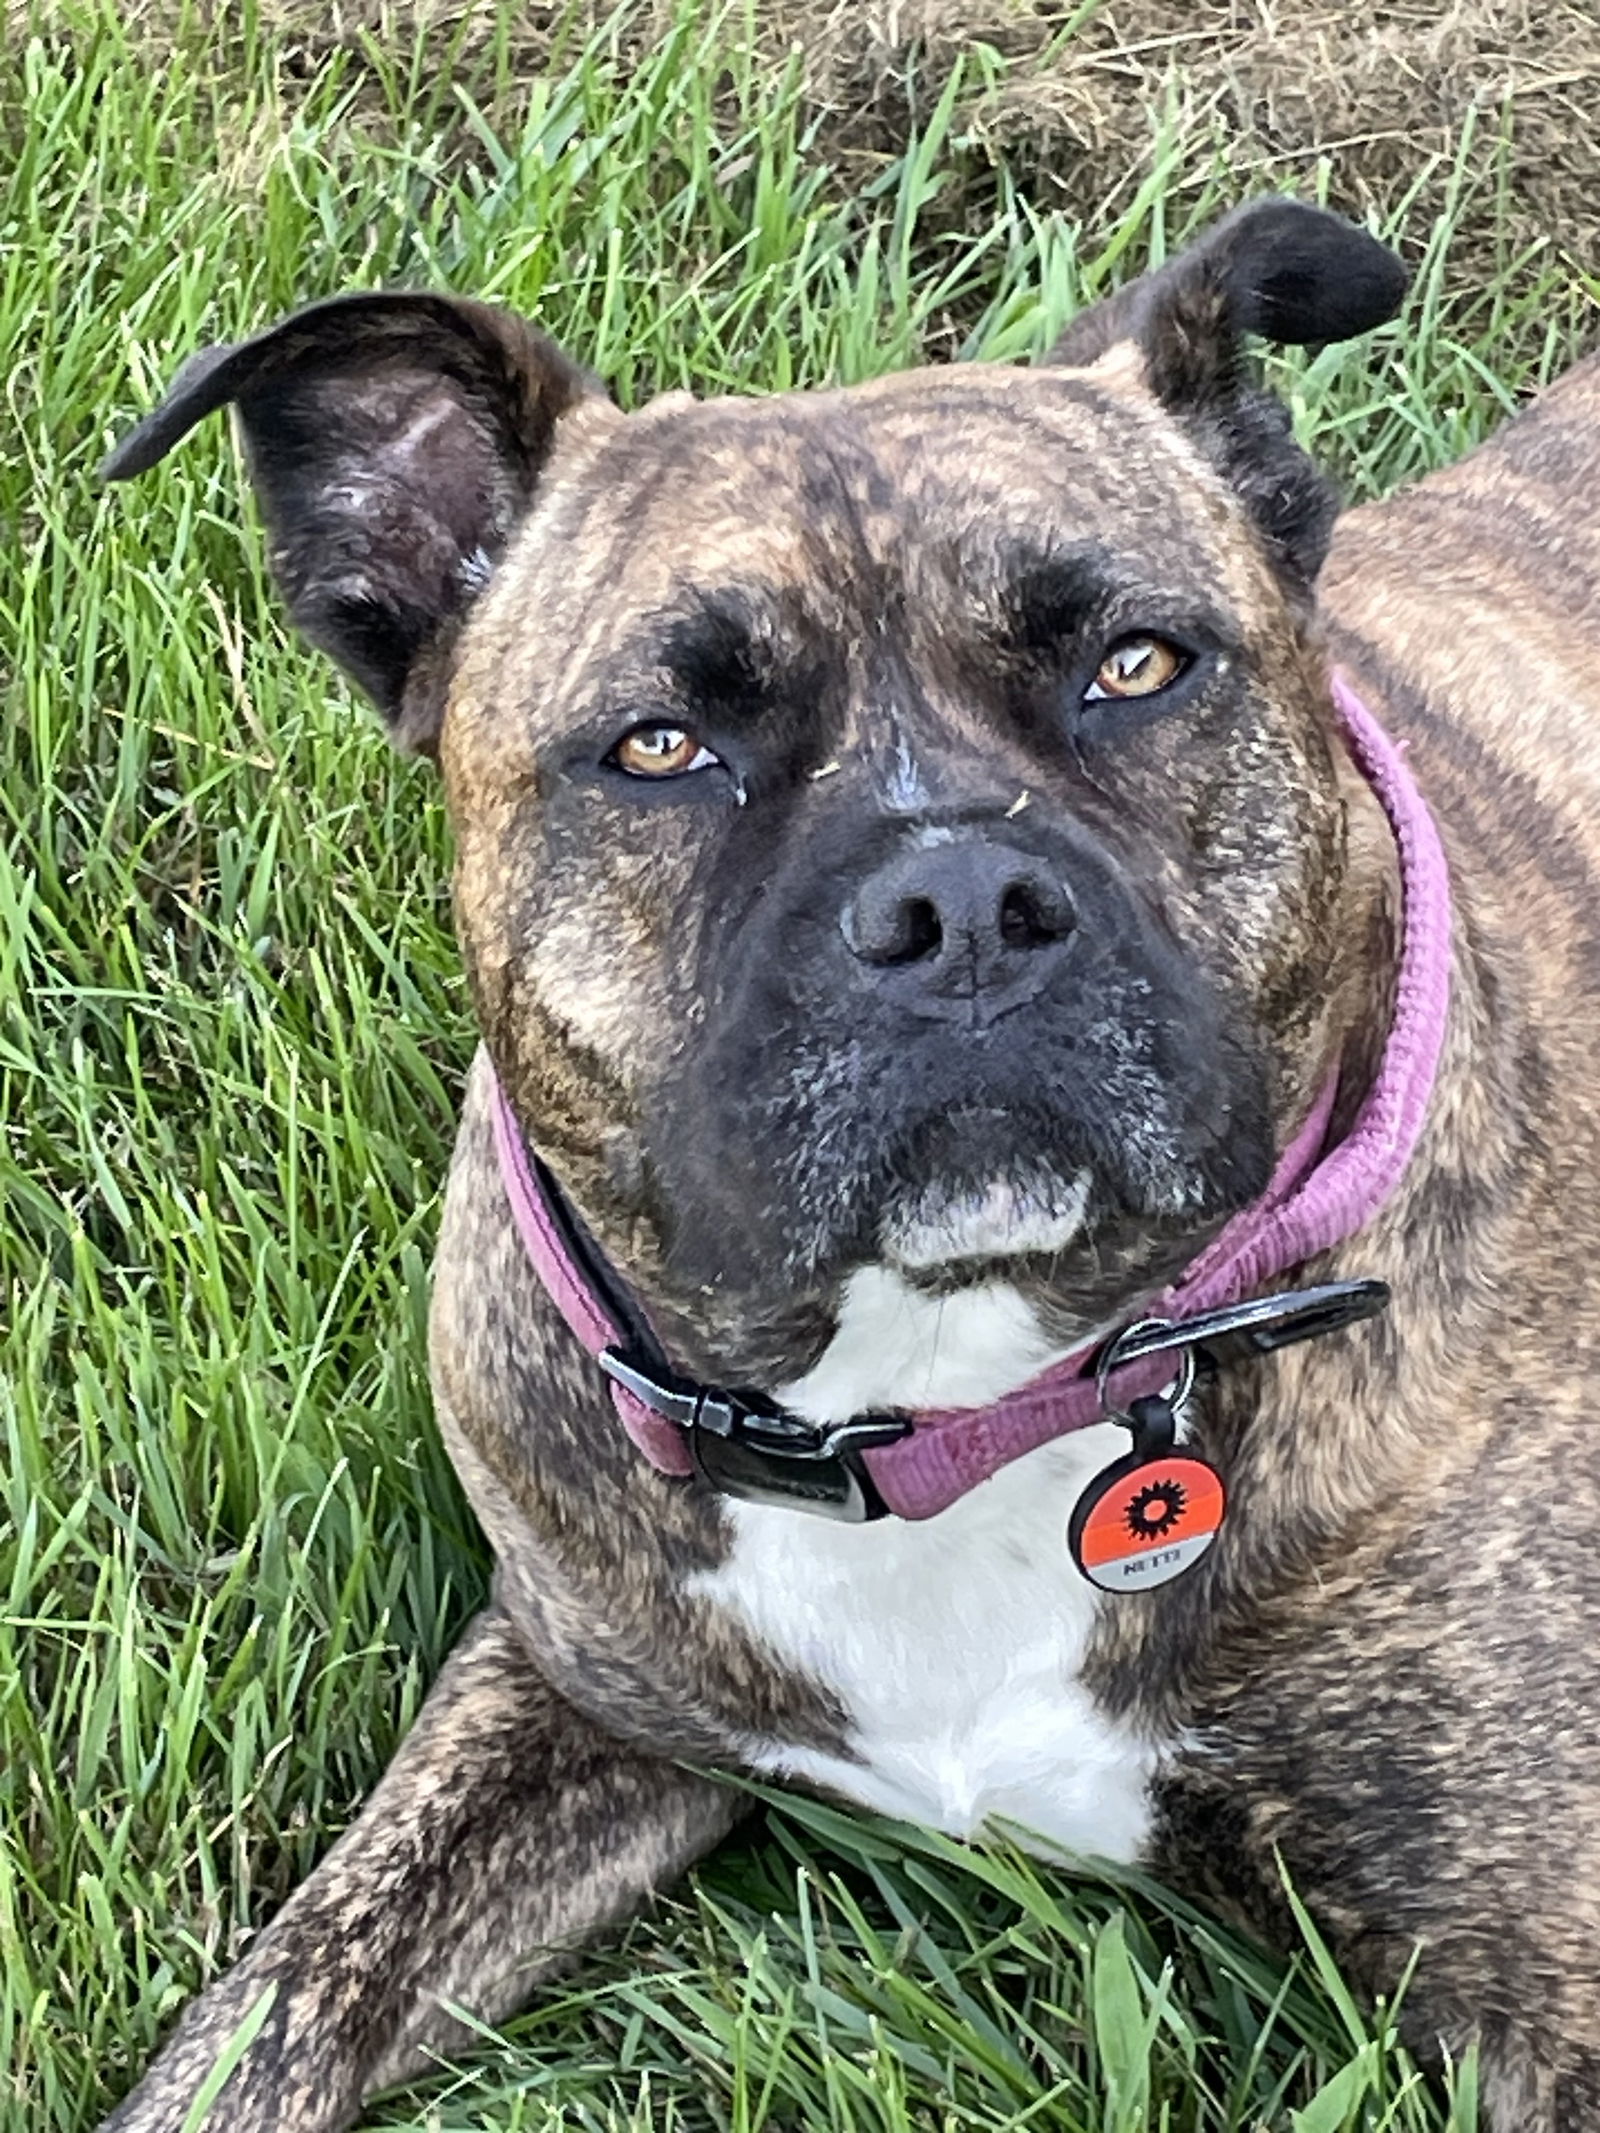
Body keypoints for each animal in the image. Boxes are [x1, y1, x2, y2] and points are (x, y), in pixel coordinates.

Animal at [97, 191, 1600, 2124]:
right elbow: (275, 2004)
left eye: (1137, 665)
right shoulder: (557, 1678)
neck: (948, 1401)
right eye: (661, 746)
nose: (958, 901)